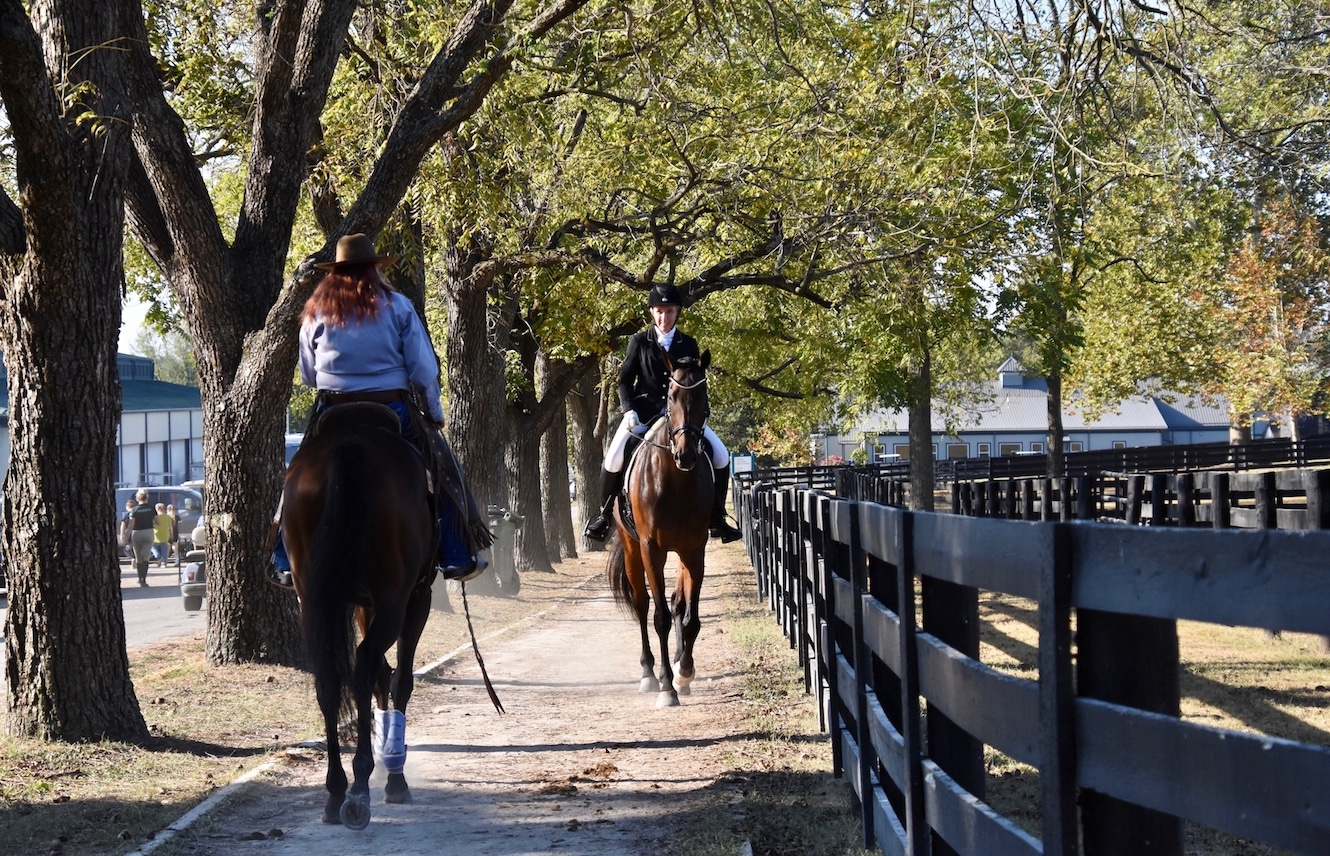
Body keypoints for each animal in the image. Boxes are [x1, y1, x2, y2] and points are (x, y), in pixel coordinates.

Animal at [282, 402, 436, 829]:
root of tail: (350, 445)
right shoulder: (415, 597)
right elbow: (399, 678)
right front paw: (395, 773)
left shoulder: (364, 603)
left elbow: (382, 676)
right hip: (397, 597)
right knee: (366, 663)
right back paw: (362, 783)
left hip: (315, 597)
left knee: (331, 678)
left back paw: (336, 790)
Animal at [606, 350, 715, 708]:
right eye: (670, 396)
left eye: (703, 396)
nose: (686, 455)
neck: (676, 481)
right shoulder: (651, 550)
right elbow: (661, 618)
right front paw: (667, 686)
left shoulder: (694, 550)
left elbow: (690, 617)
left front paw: (684, 673)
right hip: (631, 548)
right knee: (642, 606)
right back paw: (648, 674)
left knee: (677, 602)